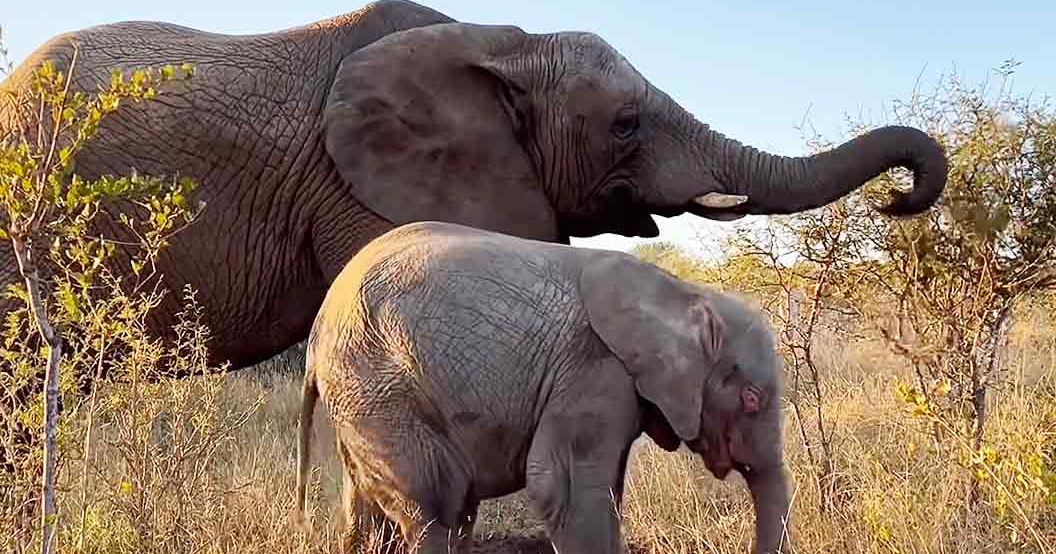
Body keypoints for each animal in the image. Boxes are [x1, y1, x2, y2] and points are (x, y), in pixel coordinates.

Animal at [295, 221, 791, 554]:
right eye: (751, 400)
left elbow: (605, 488)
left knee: (376, 511)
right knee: (439, 504)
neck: (682, 292)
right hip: (380, 383)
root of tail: (317, 333)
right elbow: (561, 487)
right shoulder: (592, 370)